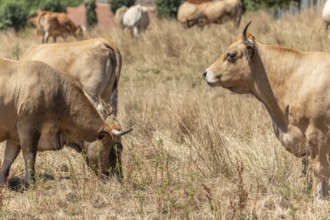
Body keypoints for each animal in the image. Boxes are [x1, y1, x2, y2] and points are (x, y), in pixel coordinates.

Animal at [0, 57, 131, 187]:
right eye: (116, 149)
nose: (119, 178)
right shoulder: (29, 129)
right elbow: (29, 156)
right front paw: (31, 182)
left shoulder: (14, 137)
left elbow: (8, 161)